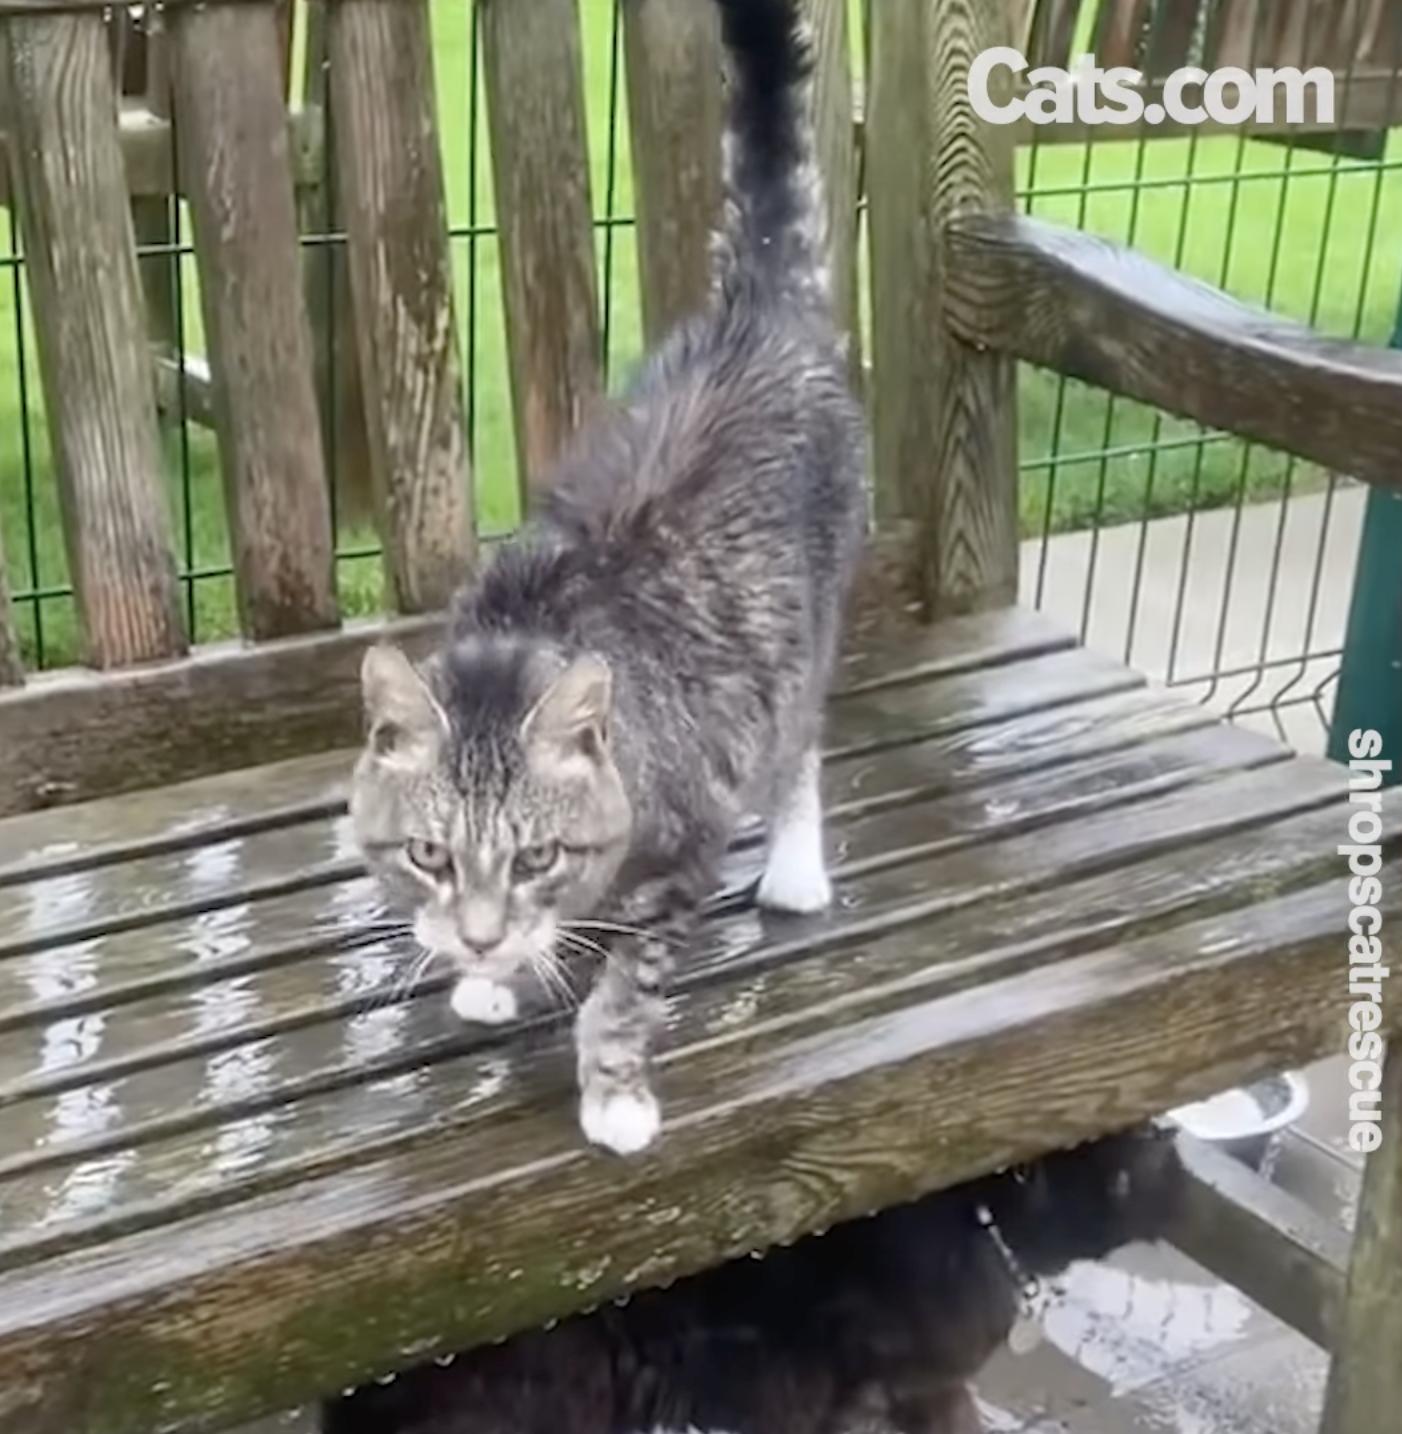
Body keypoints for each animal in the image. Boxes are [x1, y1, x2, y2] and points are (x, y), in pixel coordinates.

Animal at [349, 0, 865, 1152]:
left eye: (533, 856)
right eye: (428, 855)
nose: (479, 938)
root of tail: (757, 314)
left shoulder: (683, 850)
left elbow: (626, 989)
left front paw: (614, 1086)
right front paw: (493, 972)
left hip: (808, 621)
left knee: (804, 741)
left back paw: (796, 866)